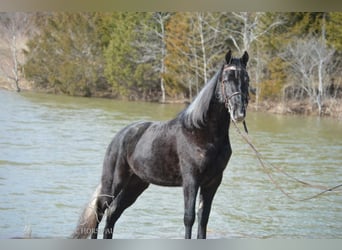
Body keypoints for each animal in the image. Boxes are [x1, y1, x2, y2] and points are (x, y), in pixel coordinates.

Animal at [71, 49, 250, 239]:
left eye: (246, 79)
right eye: (226, 79)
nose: (239, 113)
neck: (202, 132)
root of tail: (120, 136)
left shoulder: (212, 182)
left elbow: (203, 220)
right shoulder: (191, 180)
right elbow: (189, 218)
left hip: (135, 185)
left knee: (113, 213)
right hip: (113, 183)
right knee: (100, 210)